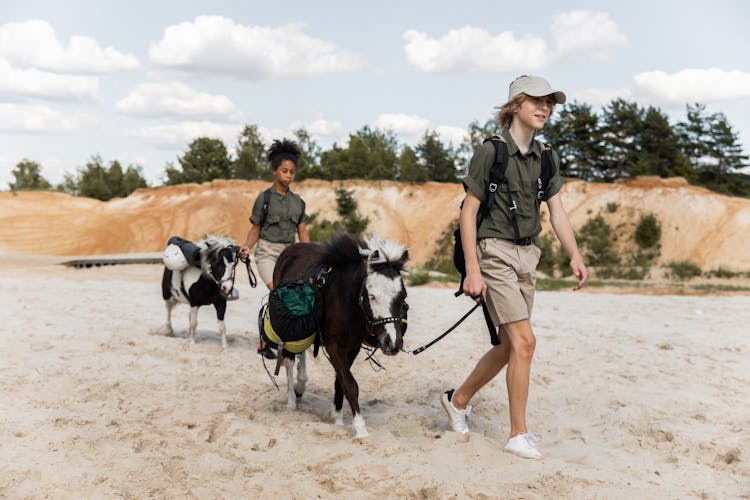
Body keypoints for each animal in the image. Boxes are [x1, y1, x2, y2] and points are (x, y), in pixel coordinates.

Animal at [272, 233, 412, 438]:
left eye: (403, 295)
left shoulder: (353, 347)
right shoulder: (333, 345)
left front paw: (337, 417)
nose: (392, 343)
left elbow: (340, 381)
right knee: (289, 360)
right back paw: (291, 399)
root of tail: (291, 249)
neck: (346, 301)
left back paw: (300, 385)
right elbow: (350, 383)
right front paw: (360, 428)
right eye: (372, 296)